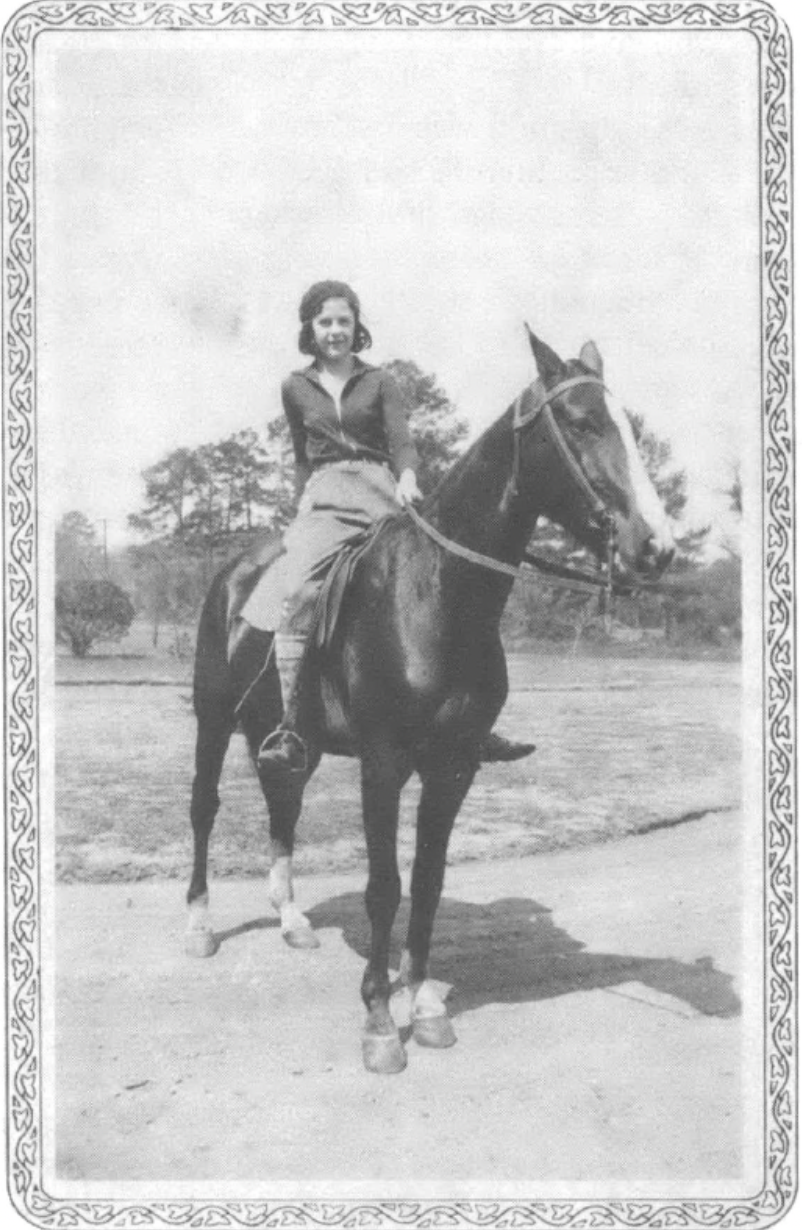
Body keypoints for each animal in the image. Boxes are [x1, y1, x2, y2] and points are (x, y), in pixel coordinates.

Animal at [184, 329, 674, 1077]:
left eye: (630, 427)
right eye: (582, 422)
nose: (656, 545)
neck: (438, 591)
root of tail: (233, 575)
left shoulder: (455, 765)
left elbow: (430, 881)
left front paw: (423, 1003)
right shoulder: (383, 763)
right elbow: (385, 887)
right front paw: (381, 1023)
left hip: (290, 738)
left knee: (283, 803)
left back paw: (292, 920)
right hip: (212, 719)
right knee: (204, 809)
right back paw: (200, 926)